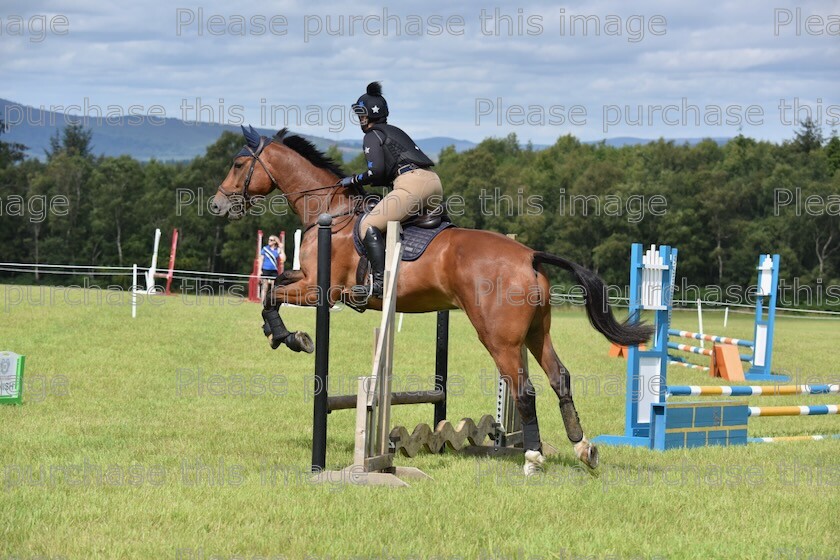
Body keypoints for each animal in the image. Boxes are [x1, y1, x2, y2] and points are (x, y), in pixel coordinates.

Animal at [210, 127, 648, 472]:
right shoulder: (305, 280)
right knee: (560, 378)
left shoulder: (321, 290)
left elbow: (270, 294)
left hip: (499, 338)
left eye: (238, 163)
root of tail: (528, 255)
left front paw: (293, 338)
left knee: (523, 390)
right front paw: (278, 334)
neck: (331, 211)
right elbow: (274, 284)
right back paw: (582, 448)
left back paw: (533, 457)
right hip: (536, 332)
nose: (216, 204)